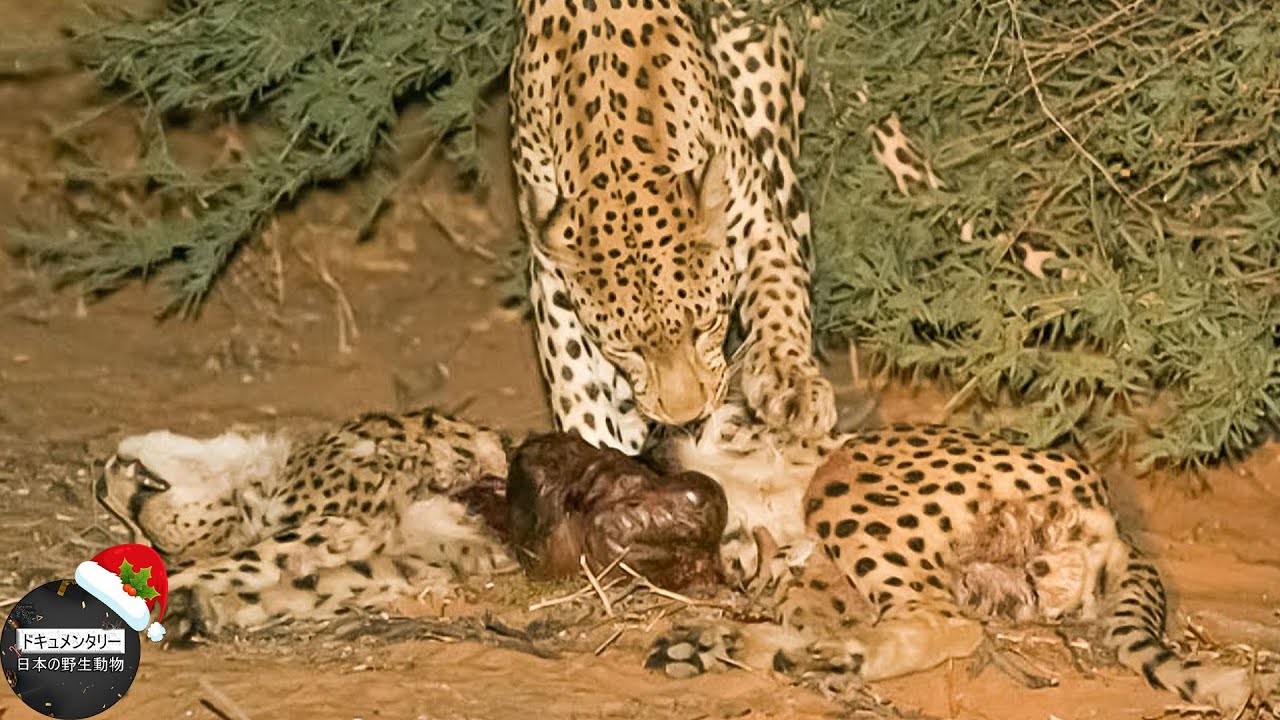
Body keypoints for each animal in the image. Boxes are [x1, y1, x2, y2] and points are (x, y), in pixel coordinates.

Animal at [509, 0, 837, 455]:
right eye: (625, 347)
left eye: (706, 326)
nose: (687, 415)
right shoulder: (550, 268)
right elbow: (573, 373)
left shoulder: (756, 222)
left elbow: (779, 300)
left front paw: (792, 385)